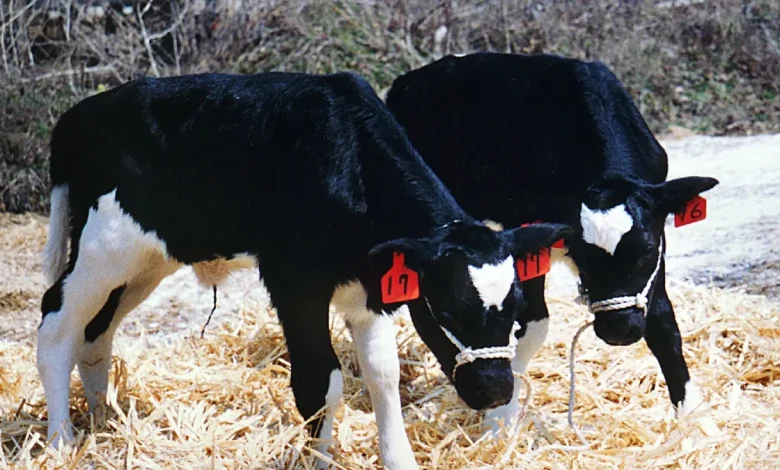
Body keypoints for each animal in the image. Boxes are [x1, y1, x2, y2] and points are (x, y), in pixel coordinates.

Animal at [37, 70, 572, 469]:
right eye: (448, 308)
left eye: (516, 308)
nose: (497, 389)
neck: (348, 158)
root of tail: (75, 118)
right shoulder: (295, 284)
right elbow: (320, 382)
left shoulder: (368, 288)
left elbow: (382, 373)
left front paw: (398, 459)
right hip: (103, 248)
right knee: (56, 322)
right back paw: (62, 442)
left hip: (144, 263)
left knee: (96, 333)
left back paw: (105, 421)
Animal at [385, 52, 719, 434]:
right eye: (582, 254)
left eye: (645, 250)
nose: (620, 330)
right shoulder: (524, 239)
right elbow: (534, 324)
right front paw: (499, 419)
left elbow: (663, 320)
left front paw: (696, 418)